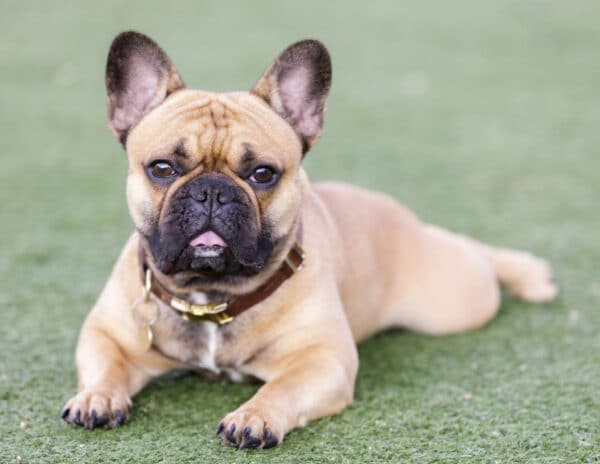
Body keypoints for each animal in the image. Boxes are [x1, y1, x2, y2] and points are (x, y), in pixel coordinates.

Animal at [61, 29, 556, 450]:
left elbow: (283, 386)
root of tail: (405, 218)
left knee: (476, 256)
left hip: (456, 302)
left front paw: (254, 415)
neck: (212, 295)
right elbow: (105, 364)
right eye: (162, 168)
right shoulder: (107, 333)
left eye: (263, 174)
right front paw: (97, 397)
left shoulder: (323, 359)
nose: (212, 192)